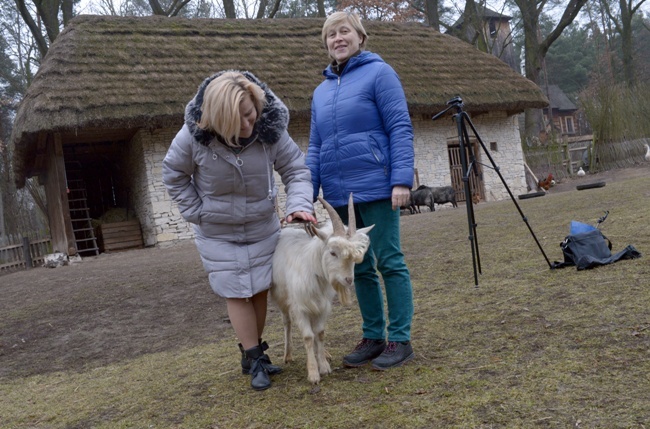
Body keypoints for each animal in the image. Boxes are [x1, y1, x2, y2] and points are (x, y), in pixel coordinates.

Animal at [268, 194, 372, 384]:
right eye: (332, 252)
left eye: (354, 257)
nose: (348, 280)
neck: (312, 269)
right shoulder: (300, 306)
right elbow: (308, 337)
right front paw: (313, 373)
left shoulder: (323, 305)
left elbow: (320, 333)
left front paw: (323, 365)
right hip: (281, 297)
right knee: (287, 322)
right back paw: (288, 355)